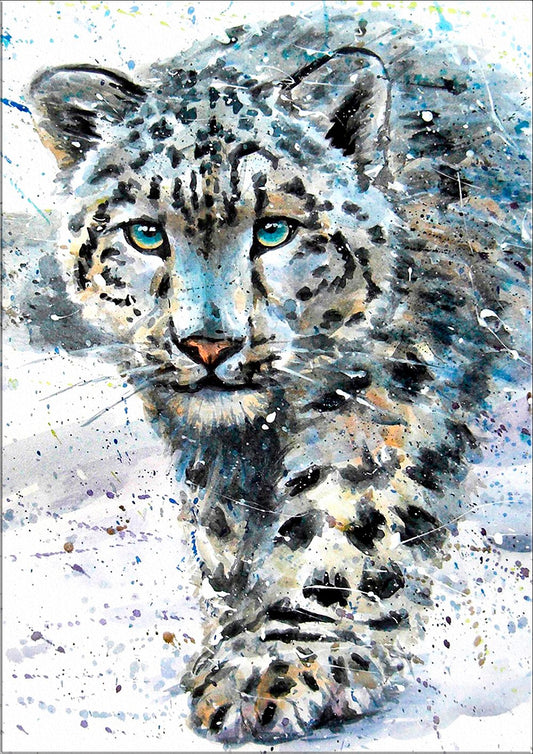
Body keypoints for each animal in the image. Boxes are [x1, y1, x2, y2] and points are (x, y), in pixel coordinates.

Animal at [27, 8, 530, 744]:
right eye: (145, 233)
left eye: (273, 230)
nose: (208, 343)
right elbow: (221, 517)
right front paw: (234, 588)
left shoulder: (382, 395)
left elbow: (347, 516)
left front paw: (275, 658)